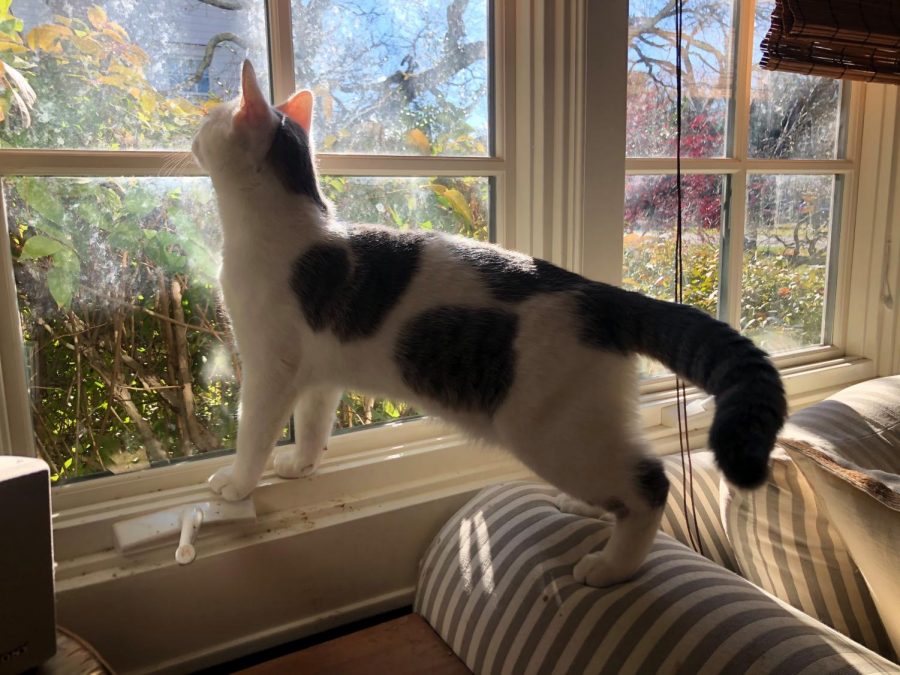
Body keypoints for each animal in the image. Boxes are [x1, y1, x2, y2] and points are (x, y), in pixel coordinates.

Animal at [193, 62, 784, 588]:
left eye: (207, 120)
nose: (191, 136)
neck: (284, 224)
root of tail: (603, 294)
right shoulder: (321, 373)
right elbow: (314, 426)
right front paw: (299, 465)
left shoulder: (269, 368)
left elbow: (253, 433)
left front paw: (236, 484)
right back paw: (589, 510)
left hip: (552, 434)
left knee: (651, 483)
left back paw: (613, 567)